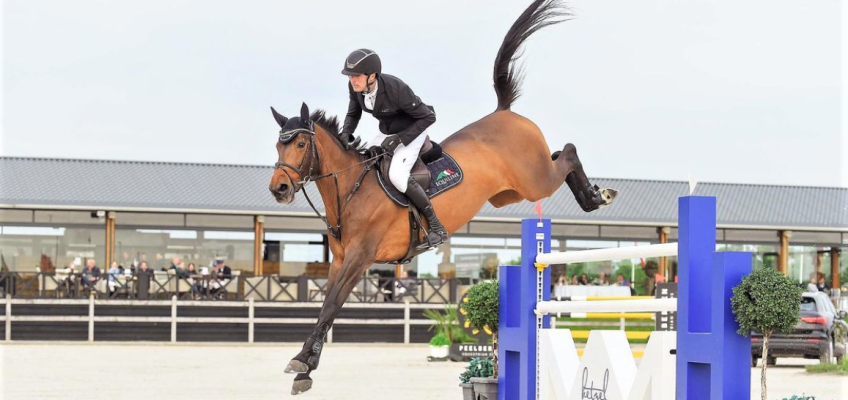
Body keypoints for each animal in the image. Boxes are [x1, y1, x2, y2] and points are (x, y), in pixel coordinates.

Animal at [268, 0, 612, 394]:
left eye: (301, 143)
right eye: (278, 144)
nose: (278, 188)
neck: (351, 189)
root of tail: (504, 113)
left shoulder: (360, 258)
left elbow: (332, 305)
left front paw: (302, 365)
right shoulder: (340, 260)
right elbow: (326, 305)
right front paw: (305, 367)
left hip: (535, 180)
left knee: (567, 152)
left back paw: (596, 197)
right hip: (508, 195)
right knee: (558, 155)